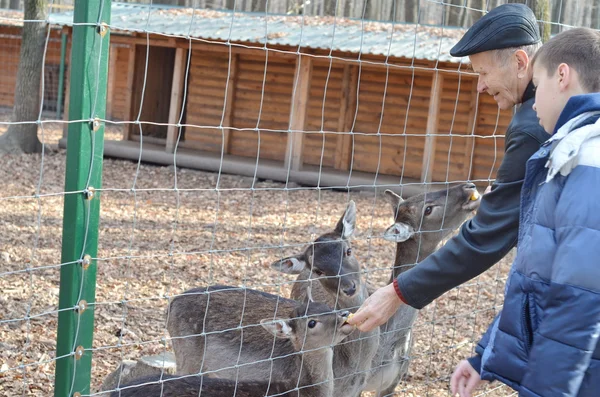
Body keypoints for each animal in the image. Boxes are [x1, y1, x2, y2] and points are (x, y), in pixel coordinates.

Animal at [166, 201, 378, 396]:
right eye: (318, 270)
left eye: (348, 251)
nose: (349, 287)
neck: (351, 371)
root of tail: (170, 305)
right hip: (188, 360)